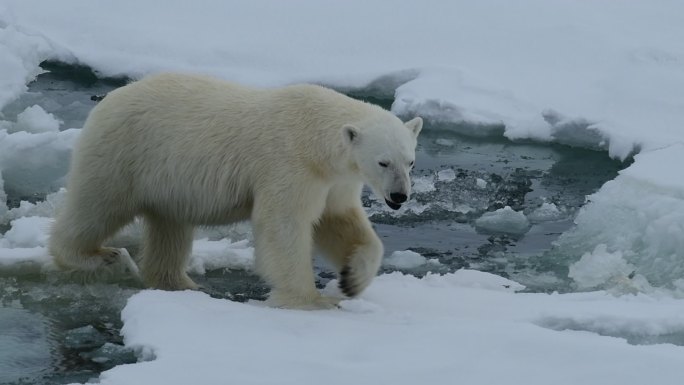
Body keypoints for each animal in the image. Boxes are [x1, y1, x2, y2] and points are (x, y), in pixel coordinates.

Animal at [49, 73, 422, 308]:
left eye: (411, 162)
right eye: (383, 162)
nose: (399, 197)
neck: (315, 138)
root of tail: (108, 99)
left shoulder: (334, 180)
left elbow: (340, 221)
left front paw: (351, 280)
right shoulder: (290, 165)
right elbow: (284, 224)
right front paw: (310, 300)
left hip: (166, 183)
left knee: (169, 229)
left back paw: (180, 284)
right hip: (125, 156)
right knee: (97, 206)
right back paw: (97, 256)